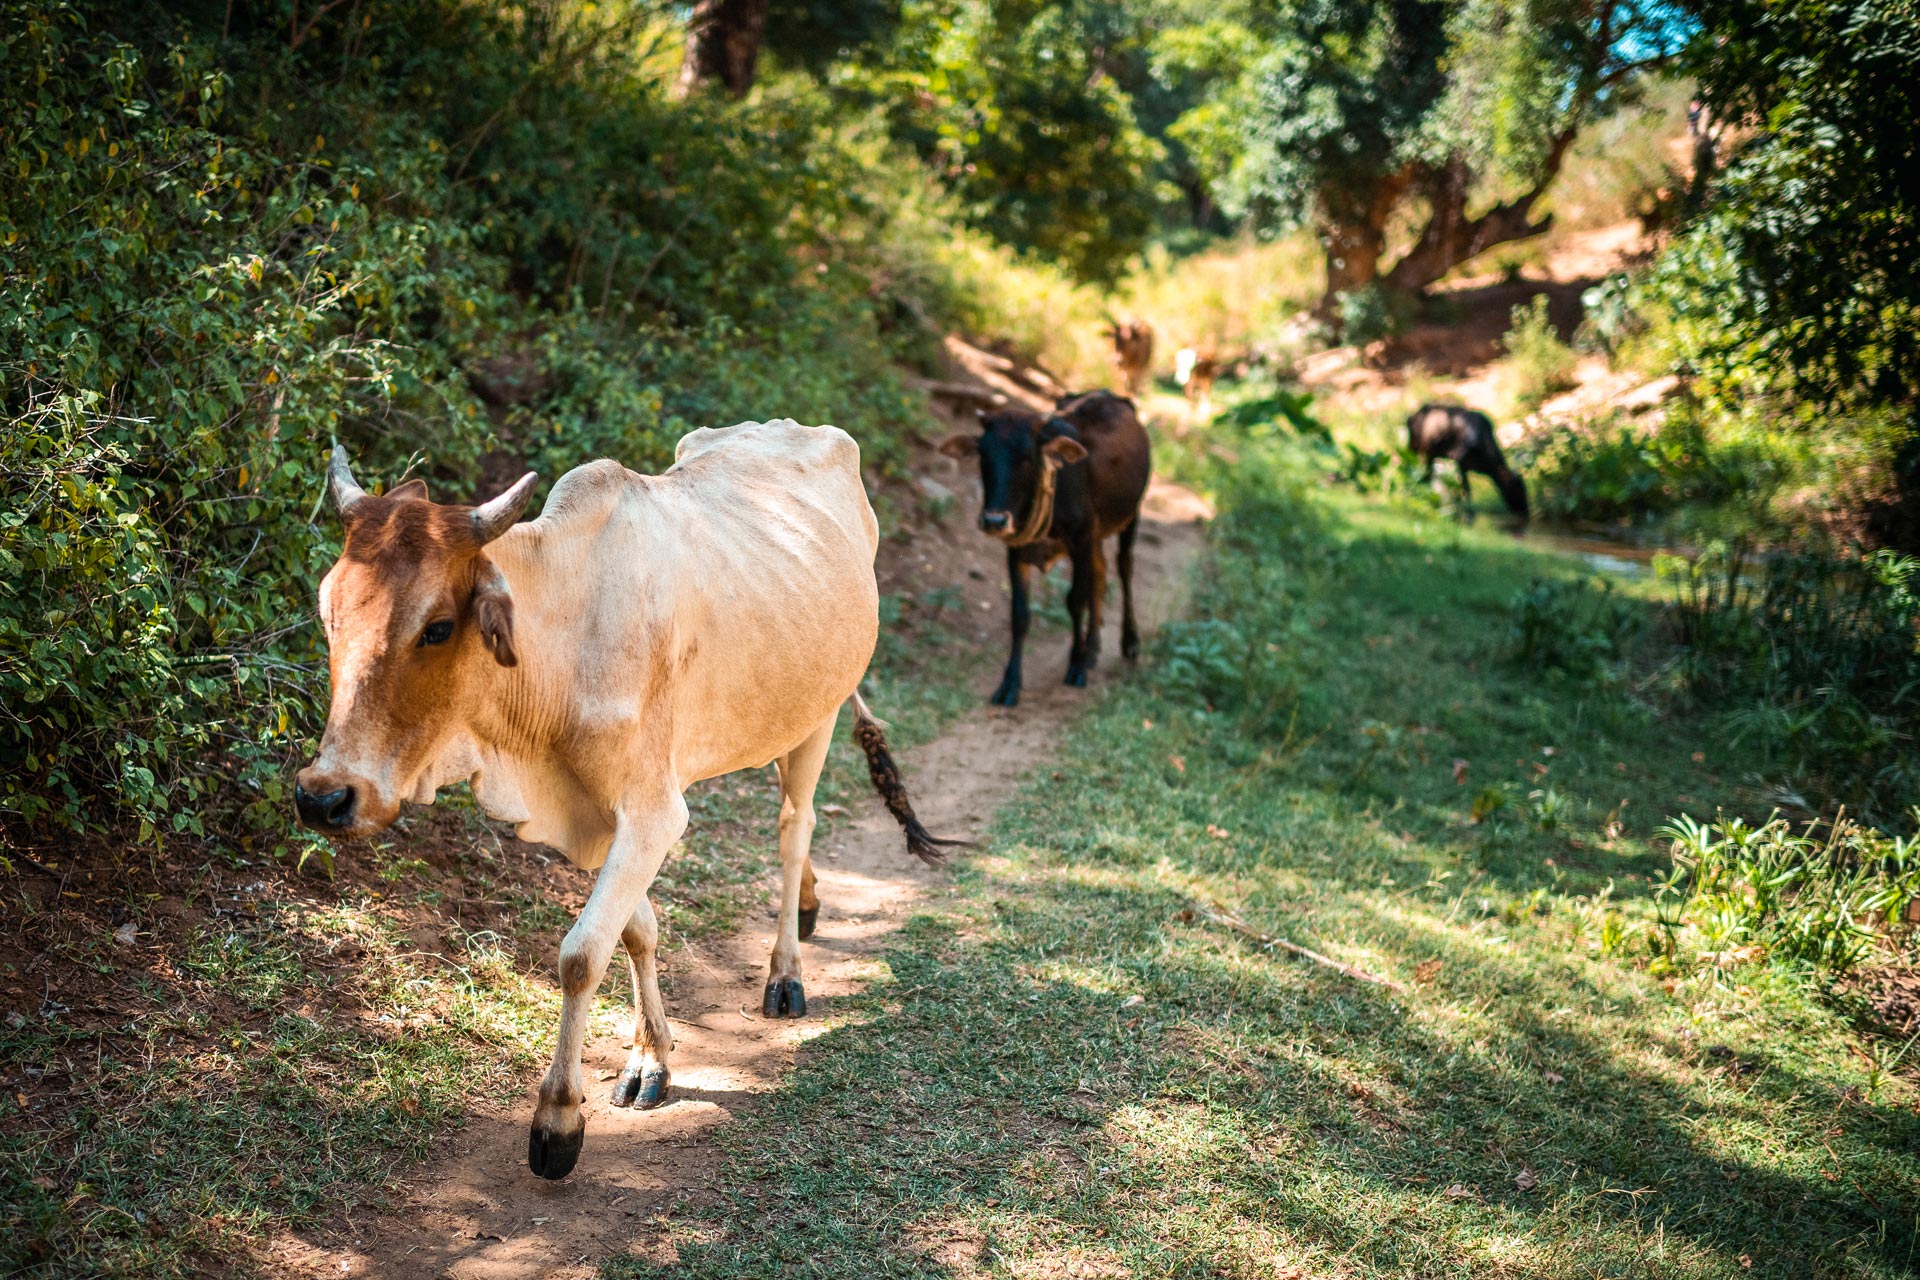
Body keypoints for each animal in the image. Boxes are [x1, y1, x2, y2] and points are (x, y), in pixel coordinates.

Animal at [293, 426, 967, 1189]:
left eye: (437, 627)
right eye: (329, 613)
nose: (323, 796)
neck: (563, 646)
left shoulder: (651, 813)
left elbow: (581, 954)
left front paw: (558, 1118)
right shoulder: (593, 816)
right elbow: (635, 931)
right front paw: (651, 1058)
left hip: (818, 715)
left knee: (795, 828)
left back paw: (785, 972)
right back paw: (809, 904)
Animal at [936, 391, 1144, 710]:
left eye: (1027, 458)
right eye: (984, 456)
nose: (994, 520)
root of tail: (1113, 395)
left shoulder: (1082, 541)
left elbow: (1076, 602)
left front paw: (1077, 665)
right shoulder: (1017, 551)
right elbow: (1020, 616)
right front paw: (1009, 684)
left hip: (1131, 515)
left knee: (1124, 568)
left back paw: (1129, 642)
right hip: (1098, 538)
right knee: (1101, 574)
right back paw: (1093, 647)